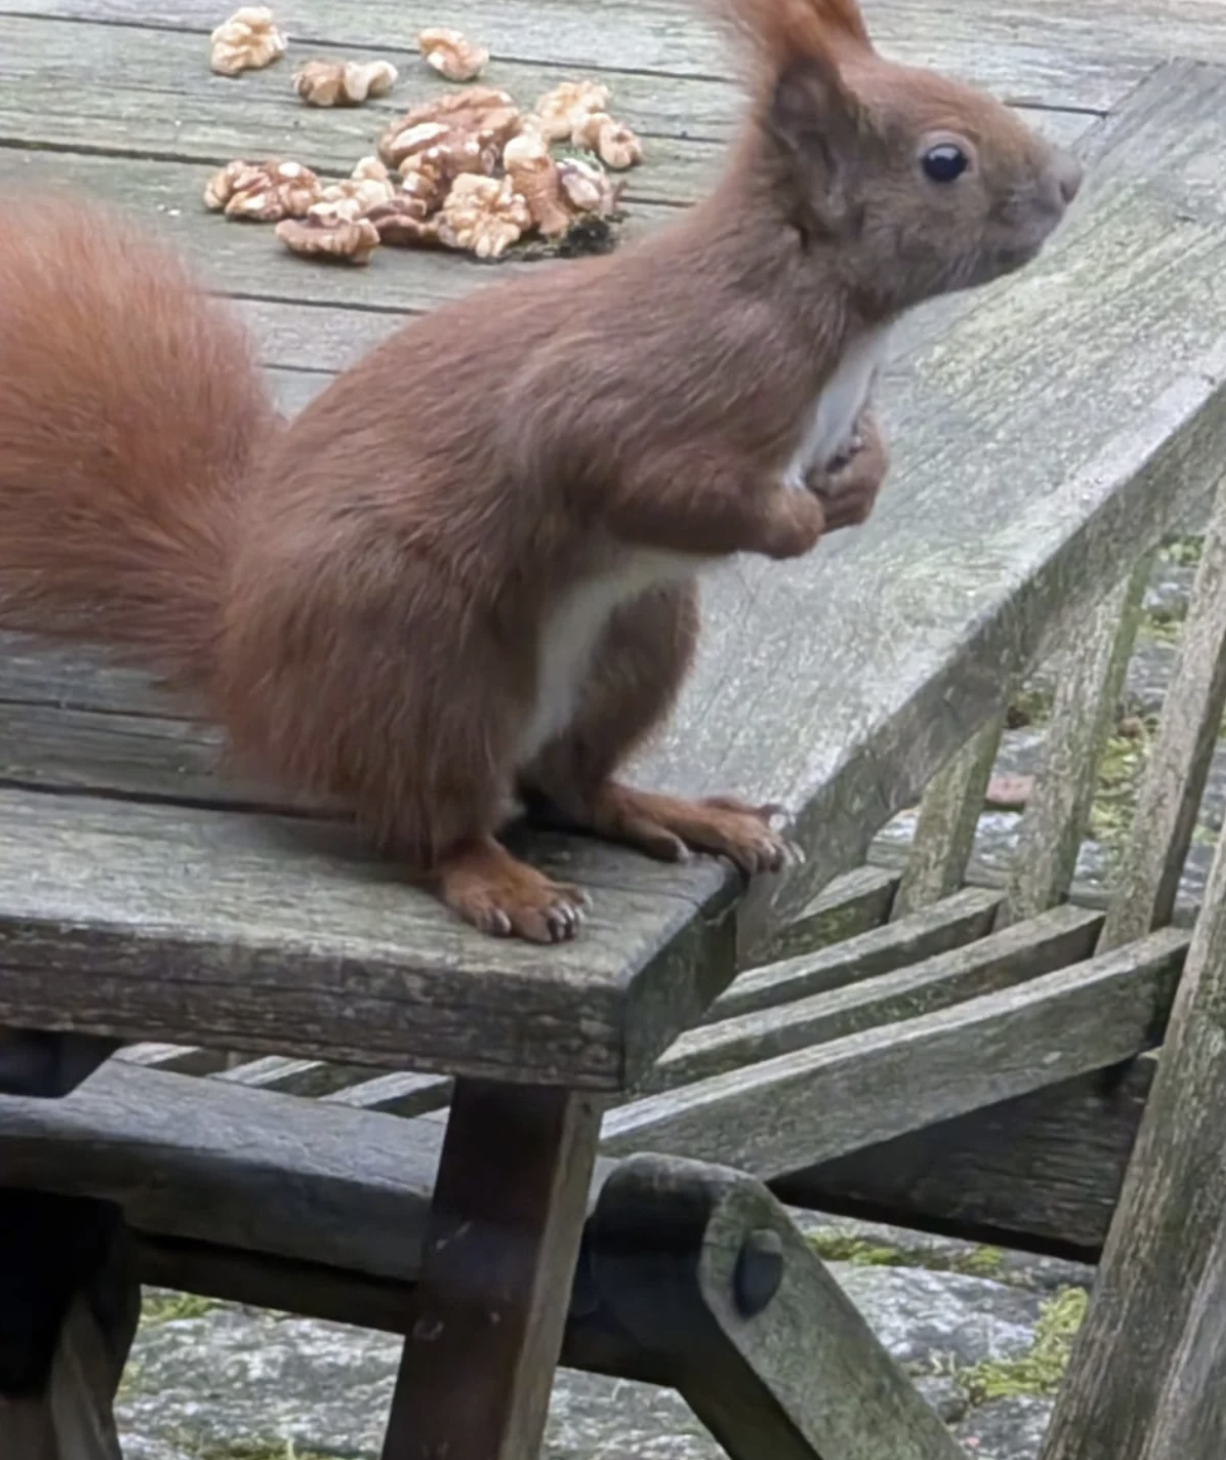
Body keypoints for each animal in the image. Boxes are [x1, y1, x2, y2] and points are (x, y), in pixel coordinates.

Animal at [0, 0, 1082, 944]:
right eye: (943, 161)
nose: (1067, 182)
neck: (827, 304)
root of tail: (241, 663)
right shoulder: (645, 384)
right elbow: (625, 470)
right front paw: (790, 524)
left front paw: (857, 486)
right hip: (421, 659)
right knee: (432, 824)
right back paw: (502, 881)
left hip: (639, 638)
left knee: (571, 784)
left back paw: (675, 811)